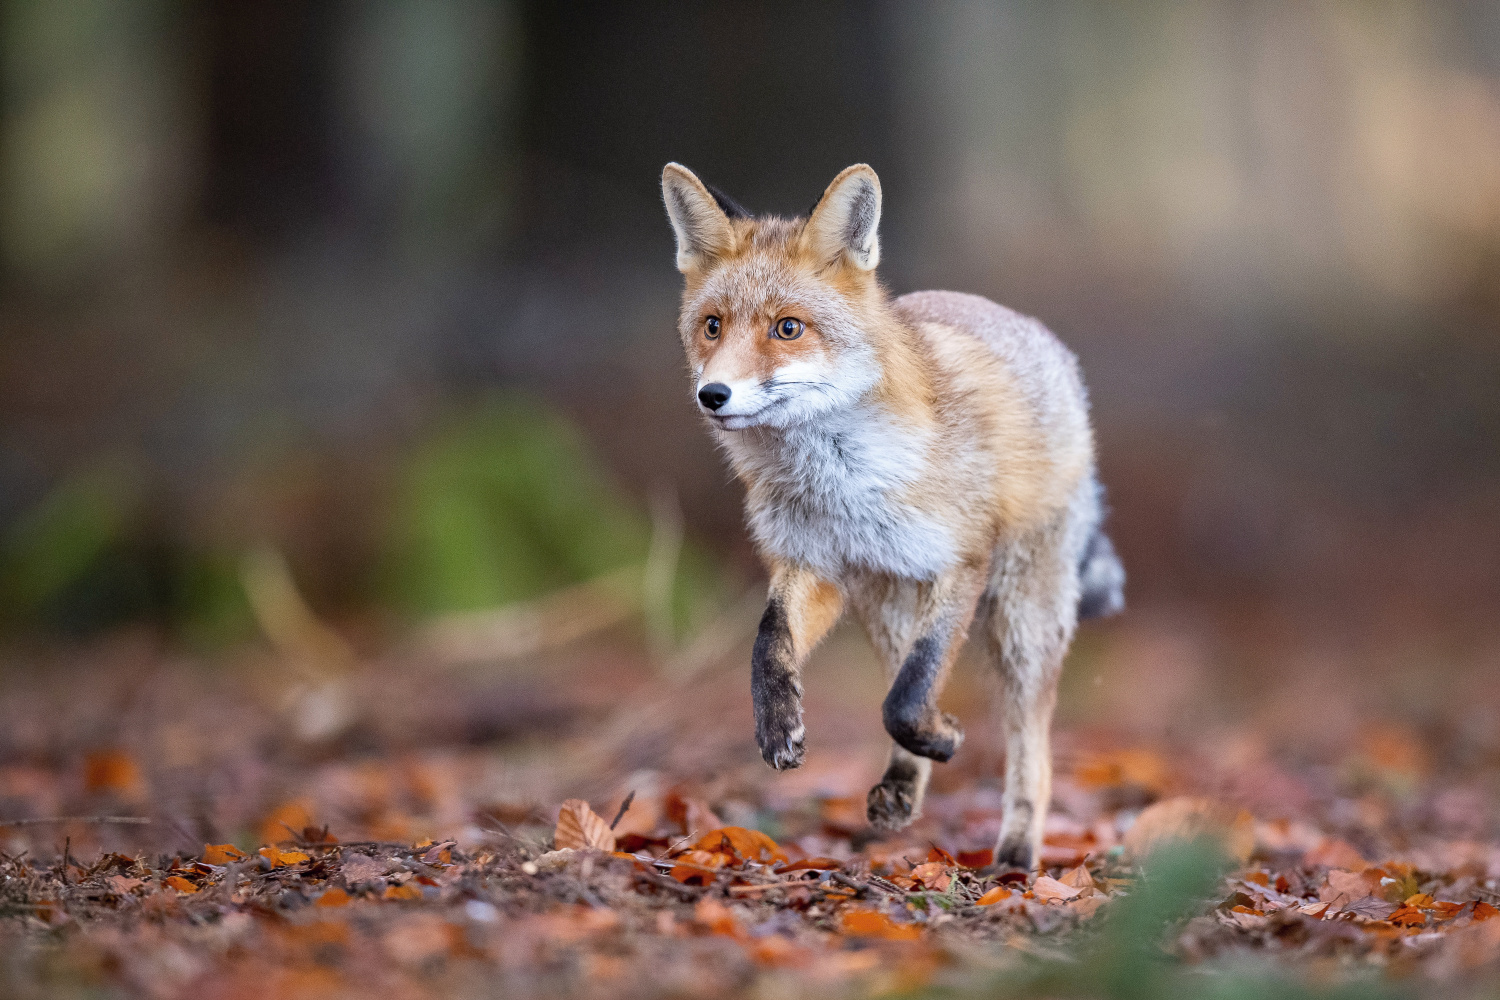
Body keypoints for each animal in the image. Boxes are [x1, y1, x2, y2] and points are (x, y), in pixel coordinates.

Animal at [663, 162, 1122, 869]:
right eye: (712, 326)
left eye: (788, 328)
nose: (713, 394)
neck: (841, 484)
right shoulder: (814, 564)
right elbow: (771, 642)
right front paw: (777, 725)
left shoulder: (962, 560)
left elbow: (909, 697)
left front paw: (943, 737)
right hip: (886, 602)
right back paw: (904, 788)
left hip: (1022, 618)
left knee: (1031, 747)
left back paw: (1016, 858)